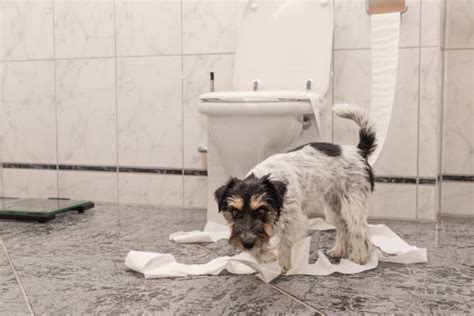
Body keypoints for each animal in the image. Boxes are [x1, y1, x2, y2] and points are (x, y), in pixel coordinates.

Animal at [216, 104, 378, 272]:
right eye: (235, 212)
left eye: (261, 210)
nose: (247, 243)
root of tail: (359, 151)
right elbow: (260, 248)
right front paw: (266, 258)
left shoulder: (292, 223)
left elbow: (284, 245)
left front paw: (283, 266)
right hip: (334, 207)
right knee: (343, 227)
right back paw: (339, 251)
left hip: (352, 205)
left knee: (360, 230)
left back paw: (359, 258)